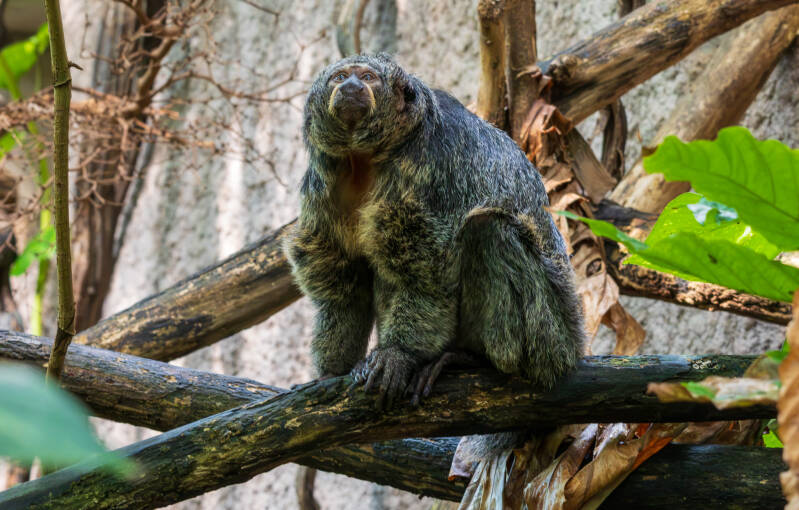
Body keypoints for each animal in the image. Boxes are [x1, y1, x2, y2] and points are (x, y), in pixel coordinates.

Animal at [284, 53, 585, 446]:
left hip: (551, 337)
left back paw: (472, 358)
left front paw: (399, 354)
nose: (350, 86)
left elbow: (427, 273)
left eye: (368, 77)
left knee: (487, 230)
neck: (366, 158)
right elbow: (344, 285)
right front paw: (331, 371)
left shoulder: (427, 168)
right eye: (339, 78)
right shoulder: (323, 181)